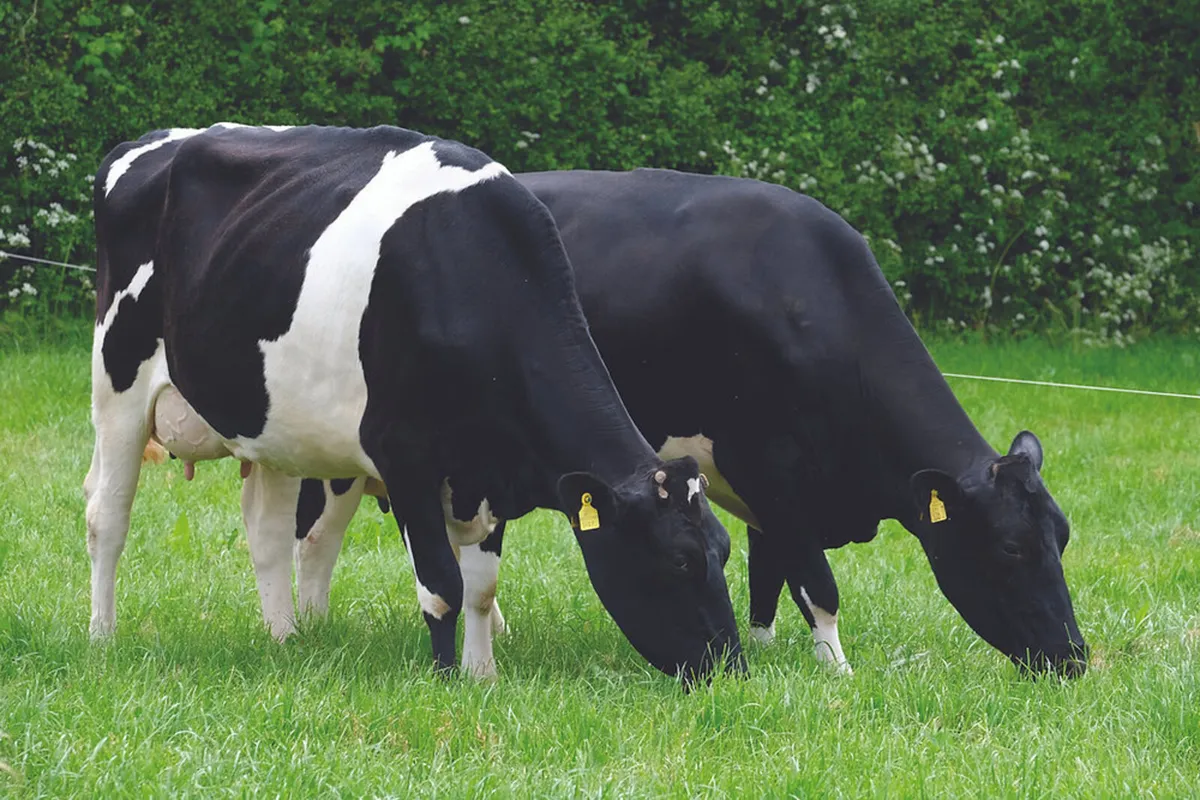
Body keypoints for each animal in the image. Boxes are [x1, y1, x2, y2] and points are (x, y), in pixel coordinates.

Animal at [85, 125, 743, 683]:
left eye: (724, 551)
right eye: (680, 561)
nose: (730, 669)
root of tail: (150, 141)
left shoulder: (488, 469)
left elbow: (480, 586)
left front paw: (483, 675)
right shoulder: (404, 458)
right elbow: (443, 585)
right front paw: (447, 679)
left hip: (274, 423)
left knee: (266, 529)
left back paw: (284, 638)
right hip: (117, 383)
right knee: (106, 517)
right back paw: (103, 637)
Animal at [281, 168, 1088, 678]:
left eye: (1063, 537)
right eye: (1012, 548)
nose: (1076, 658)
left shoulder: (764, 493)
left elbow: (767, 582)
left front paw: (766, 650)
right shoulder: (772, 467)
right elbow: (817, 584)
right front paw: (840, 672)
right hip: (345, 453)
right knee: (316, 538)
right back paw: (312, 629)